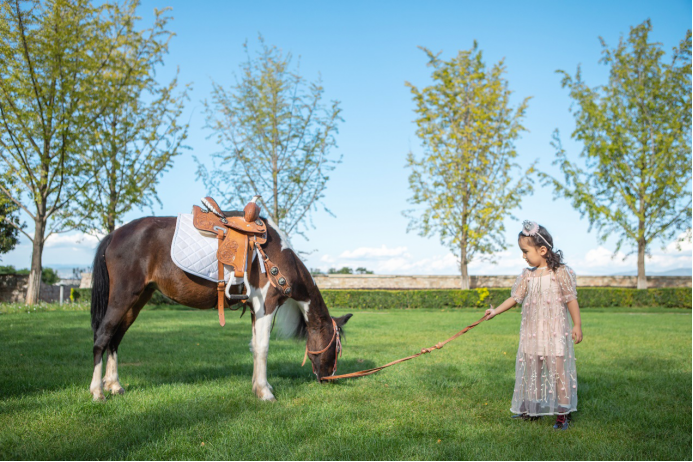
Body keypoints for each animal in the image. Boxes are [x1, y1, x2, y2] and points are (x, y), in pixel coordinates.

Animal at [89, 212, 352, 400]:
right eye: (336, 347)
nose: (329, 378)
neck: (275, 255)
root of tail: (114, 234)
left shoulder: (255, 310)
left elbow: (254, 347)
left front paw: (259, 386)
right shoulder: (266, 305)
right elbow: (263, 348)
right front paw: (265, 392)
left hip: (137, 300)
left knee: (115, 339)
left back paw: (114, 385)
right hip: (123, 297)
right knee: (102, 337)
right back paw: (97, 391)